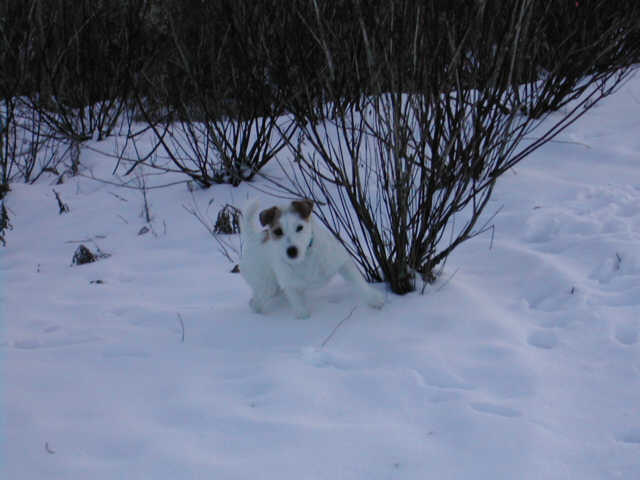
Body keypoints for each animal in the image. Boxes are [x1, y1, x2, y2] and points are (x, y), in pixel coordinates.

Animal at [239, 199, 384, 318]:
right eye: (278, 231)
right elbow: (298, 305)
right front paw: (305, 319)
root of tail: (253, 239)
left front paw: (374, 300)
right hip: (267, 285)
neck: (305, 257)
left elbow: (359, 283)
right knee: (255, 302)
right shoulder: (290, 284)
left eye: (299, 227)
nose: (291, 251)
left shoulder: (342, 263)